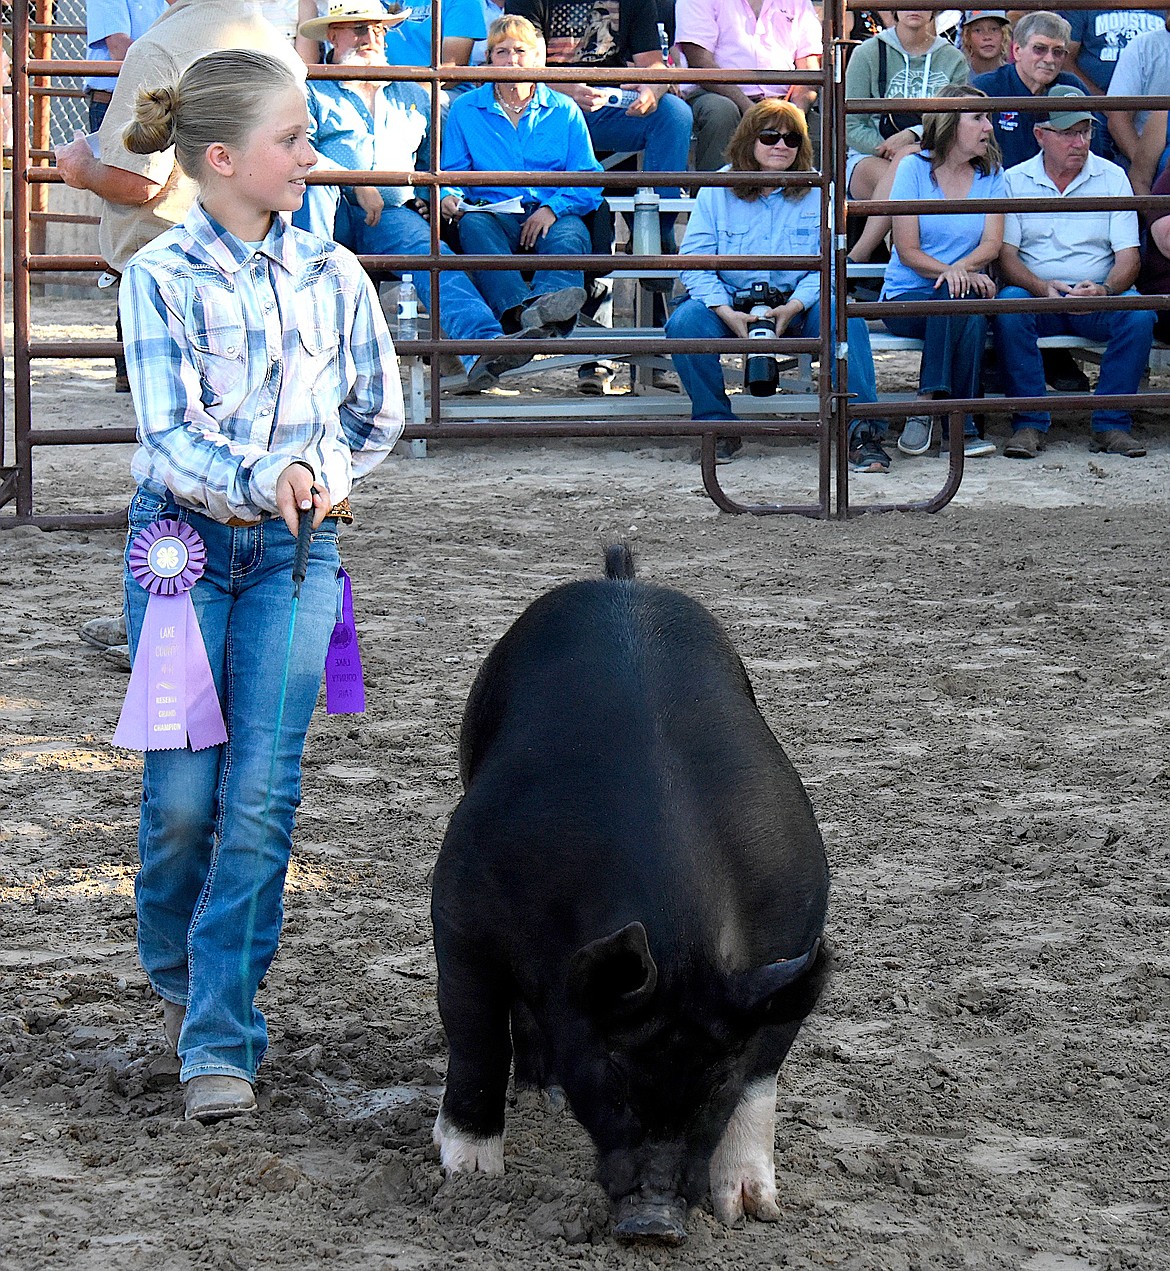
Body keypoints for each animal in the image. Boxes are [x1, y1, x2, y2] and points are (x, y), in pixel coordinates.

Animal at [431, 546, 833, 1240]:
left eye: (713, 1088)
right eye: (612, 1077)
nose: (656, 1221)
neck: (679, 938)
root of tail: (621, 581)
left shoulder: (794, 944)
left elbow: (762, 1076)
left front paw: (752, 1209)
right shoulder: (460, 918)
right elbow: (476, 1037)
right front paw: (471, 1177)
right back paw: (536, 1092)